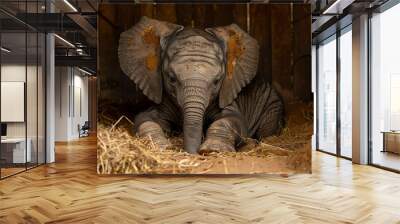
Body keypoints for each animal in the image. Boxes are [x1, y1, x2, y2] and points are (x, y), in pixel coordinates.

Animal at [119, 16, 284, 154]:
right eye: (171, 78)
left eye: (217, 81)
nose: (192, 153)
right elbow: (145, 118)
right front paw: (161, 147)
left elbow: (233, 119)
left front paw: (214, 150)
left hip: (271, 104)